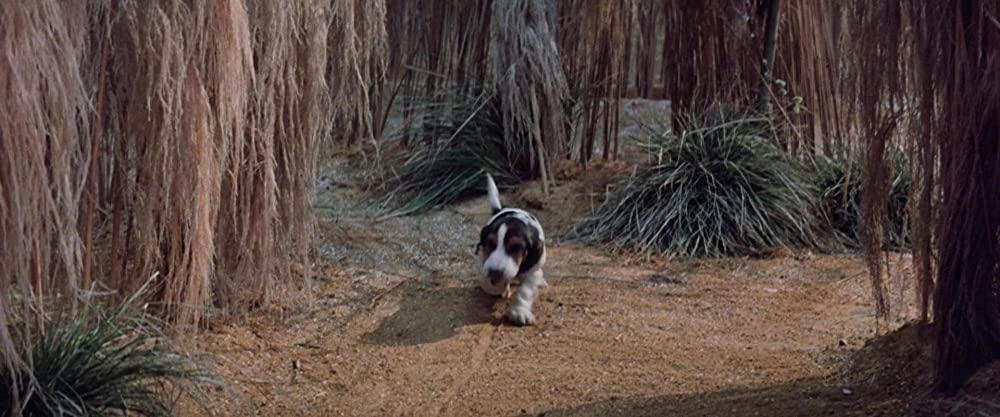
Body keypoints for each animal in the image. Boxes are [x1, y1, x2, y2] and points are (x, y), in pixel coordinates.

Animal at [476, 172, 548, 324]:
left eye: (516, 247)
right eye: (490, 243)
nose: (494, 272)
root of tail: (501, 209)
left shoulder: (533, 272)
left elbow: (524, 292)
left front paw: (519, 313)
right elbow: (493, 284)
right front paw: (499, 287)